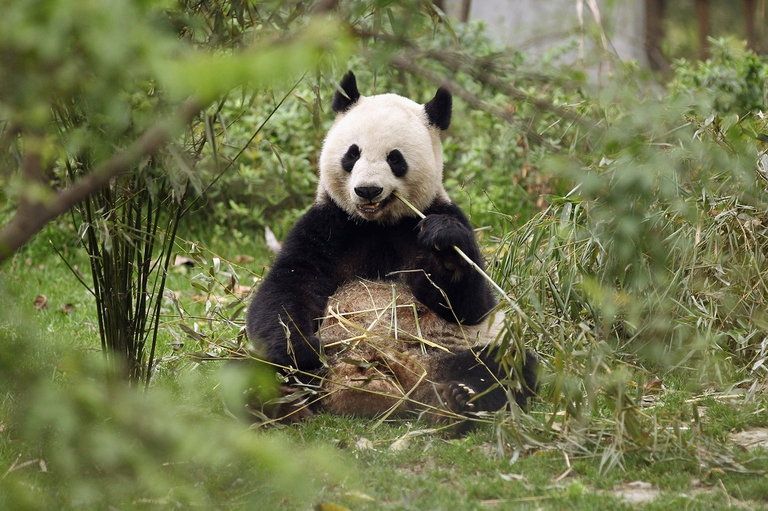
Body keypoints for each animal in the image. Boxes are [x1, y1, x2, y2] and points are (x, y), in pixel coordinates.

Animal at [246, 71, 537, 420]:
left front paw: (445, 253)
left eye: (395, 158)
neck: (378, 224)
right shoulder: (328, 226)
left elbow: (472, 306)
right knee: (249, 370)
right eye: (353, 153)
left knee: (504, 367)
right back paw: (280, 401)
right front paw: (302, 349)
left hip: (453, 351)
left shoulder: (433, 214)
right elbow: (287, 287)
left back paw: (452, 402)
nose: (367, 190)